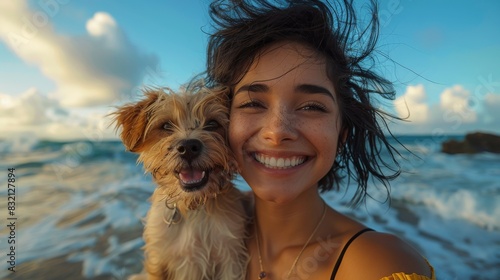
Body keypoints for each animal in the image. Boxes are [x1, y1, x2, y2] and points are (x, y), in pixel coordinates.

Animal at [112, 83, 247, 280]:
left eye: (212, 123)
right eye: (166, 125)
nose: (188, 147)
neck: (193, 207)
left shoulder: (231, 258)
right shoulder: (158, 260)